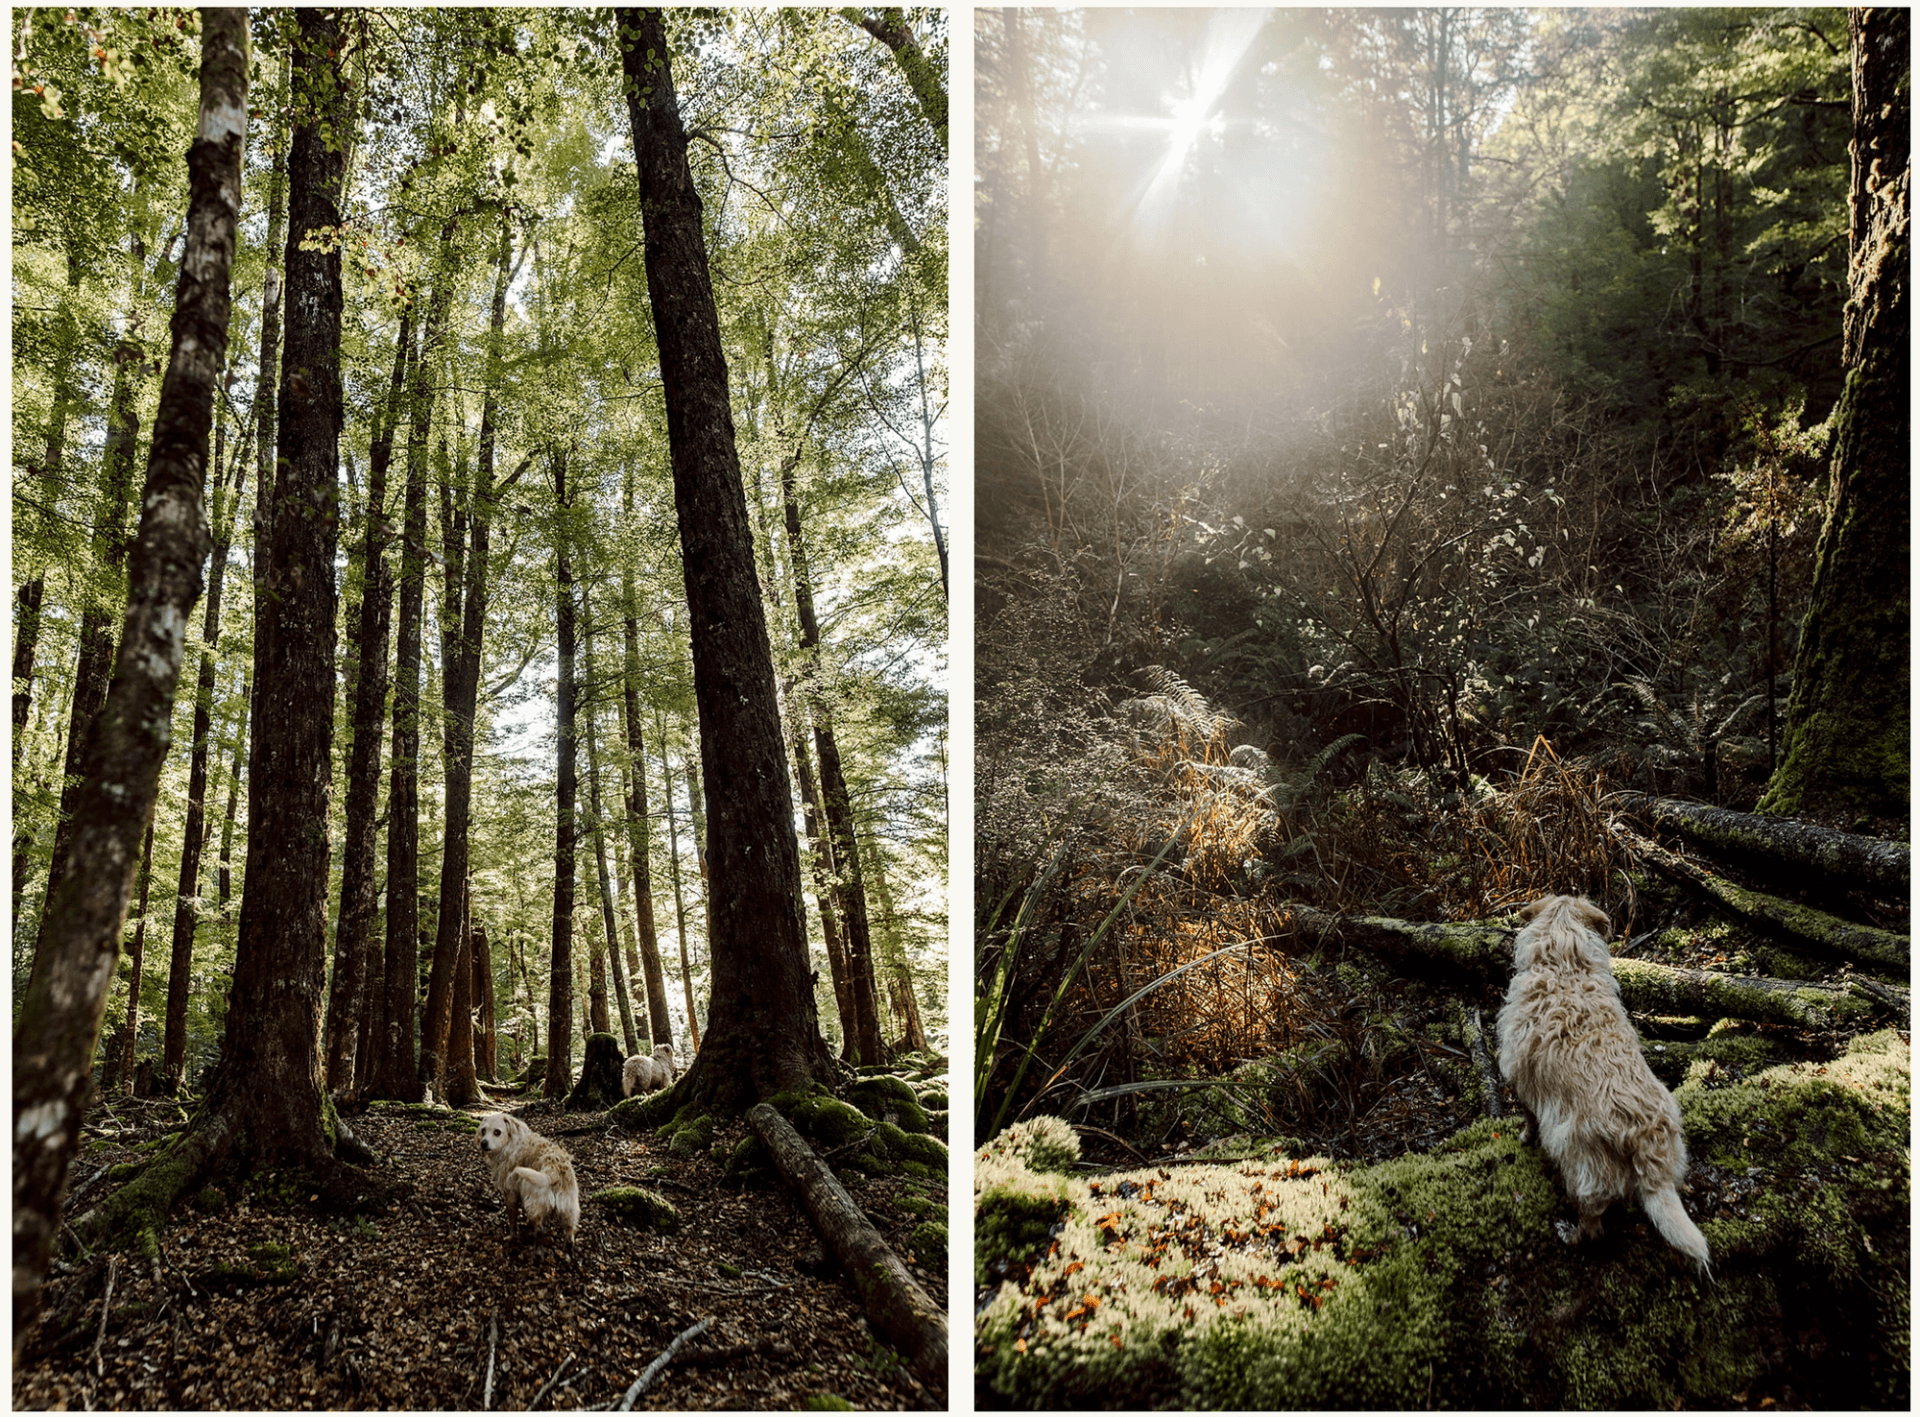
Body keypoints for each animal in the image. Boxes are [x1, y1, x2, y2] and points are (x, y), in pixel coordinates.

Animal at [474, 1105, 576, 1244]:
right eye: (483, 1130)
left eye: (497, 1132)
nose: (483, 1143)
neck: (511, 1143)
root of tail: (553, 1171)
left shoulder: (510, 1193)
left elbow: (512, 1219)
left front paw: (512, 1236)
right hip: (569, 1209)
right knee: (570, 1232)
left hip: (534, 1205)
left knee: (538, 1230)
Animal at [1497, 894, 1712, 1267]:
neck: (1563, 965)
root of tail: (1645, 1133)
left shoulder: (1520, 1081)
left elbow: (1529, 1118)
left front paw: (1525, 1138)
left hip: (1581, 1169)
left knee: (1592, 1224)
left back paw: (1571, 1234)